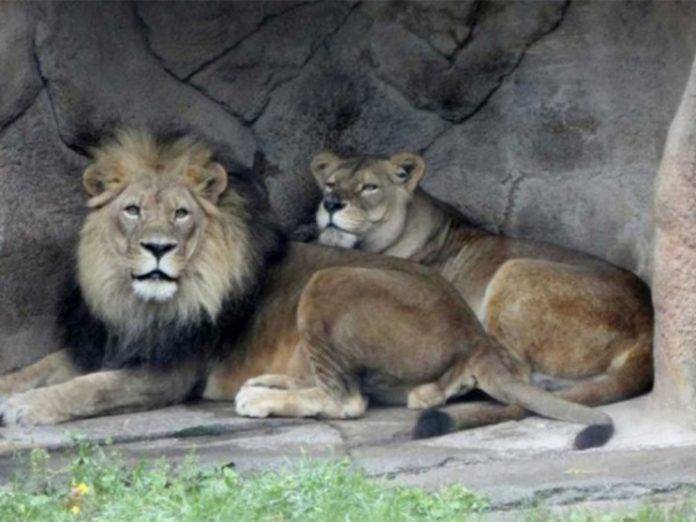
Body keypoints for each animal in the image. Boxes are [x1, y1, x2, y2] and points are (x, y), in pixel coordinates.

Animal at [0, 131, 613, 449]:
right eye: (131, 211)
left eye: (180, 214)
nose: (157, 248)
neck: (134, 300)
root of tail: (474, 332)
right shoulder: (100, 346)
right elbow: (38, 369)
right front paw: (16, 389)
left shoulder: (167, 371)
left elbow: (89, 390)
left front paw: (27, 409)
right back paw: (269, 382)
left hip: (329, 280)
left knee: (348, 399)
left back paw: (260, 398)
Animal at [312, 151, 653, 441]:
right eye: (330, 184)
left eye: (370, 187)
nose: (331, 204)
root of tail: (648, 331)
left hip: (515, 269)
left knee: (512, 374)